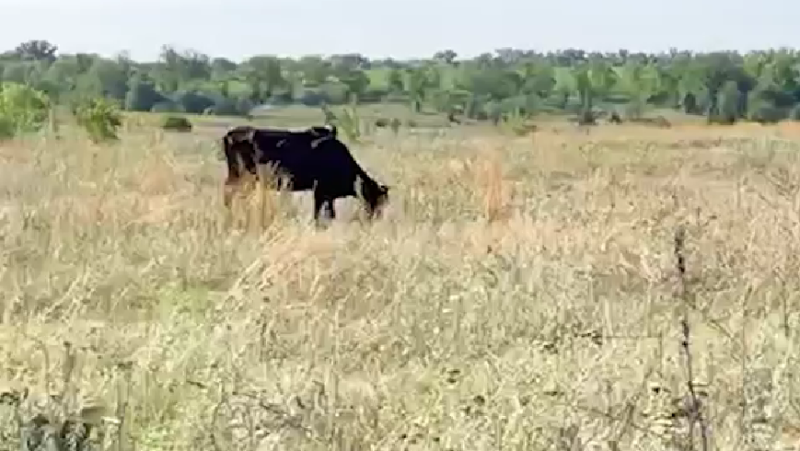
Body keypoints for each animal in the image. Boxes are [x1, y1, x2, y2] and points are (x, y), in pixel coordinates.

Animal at [222, 124, 390, 223]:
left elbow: (329, 214)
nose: (374, 219)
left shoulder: (328, 195)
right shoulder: (321, 192)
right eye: (376, 200)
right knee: (230, 192)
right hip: (241, 175)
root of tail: (230, 134)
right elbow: (320, 215)